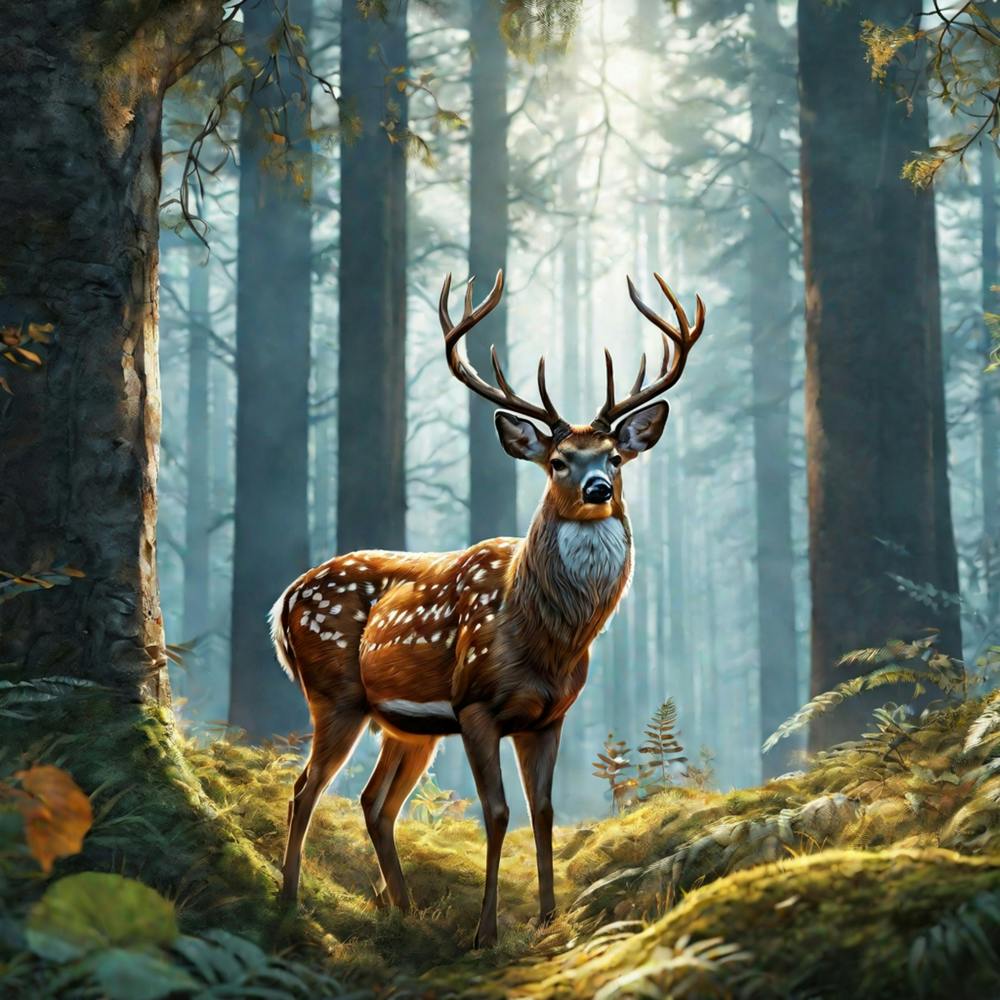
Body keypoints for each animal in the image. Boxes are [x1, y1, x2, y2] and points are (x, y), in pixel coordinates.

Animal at [272, 270, 705, 948]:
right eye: (558, 461)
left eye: (613, 456)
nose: (598, 489)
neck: (547, 638)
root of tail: (285, 598)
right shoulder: (475, 703)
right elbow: (497, 813)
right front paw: (485, 933)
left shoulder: (549, 715)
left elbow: (543, 811)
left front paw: (551, 919)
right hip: (335, 694)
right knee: (304, 789)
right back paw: (290, 904)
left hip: (406, 725)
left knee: (375, 803)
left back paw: (404, 912)